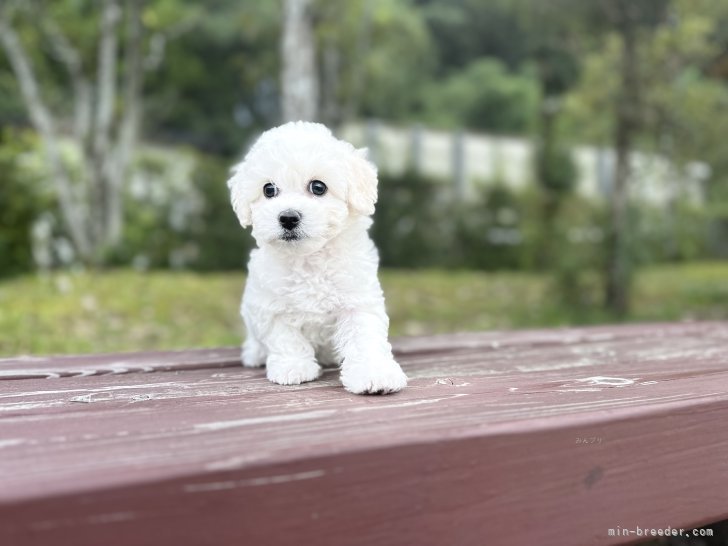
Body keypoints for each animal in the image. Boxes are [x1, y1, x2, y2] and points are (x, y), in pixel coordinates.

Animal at [226, 121, 406, 394]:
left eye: (318, 187)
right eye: (269, 190)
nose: (288, 217)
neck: (309, 258)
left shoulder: (357, 300)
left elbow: (364, 338)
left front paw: (374, 373)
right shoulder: (271, 305)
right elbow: (286, 337)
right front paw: (293, 367)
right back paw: (254, 354)